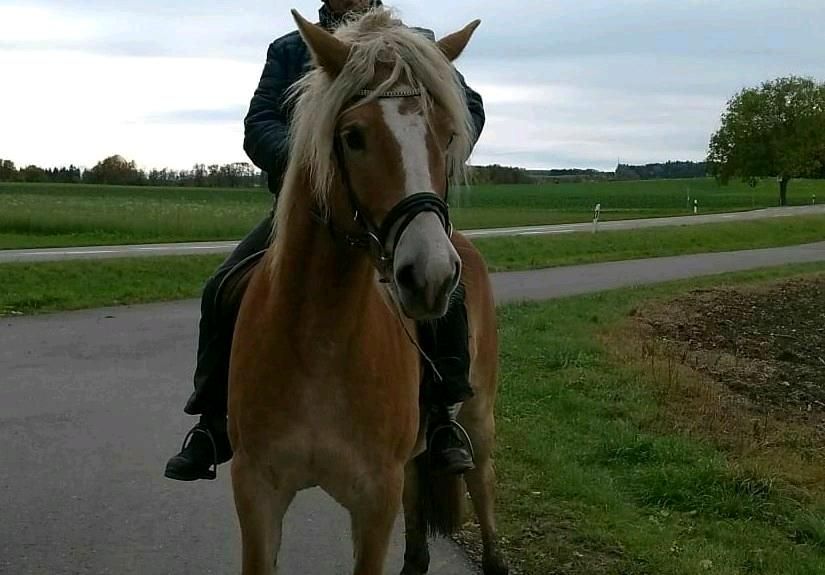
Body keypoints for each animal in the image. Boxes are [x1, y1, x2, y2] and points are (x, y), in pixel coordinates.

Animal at [229, 5, 506, 575]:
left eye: (449, 133)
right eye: (353, 136)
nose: (430, 275)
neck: (321, 342)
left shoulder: (375, 500)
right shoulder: (257, 492)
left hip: (479, 419)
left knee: (483, 484)